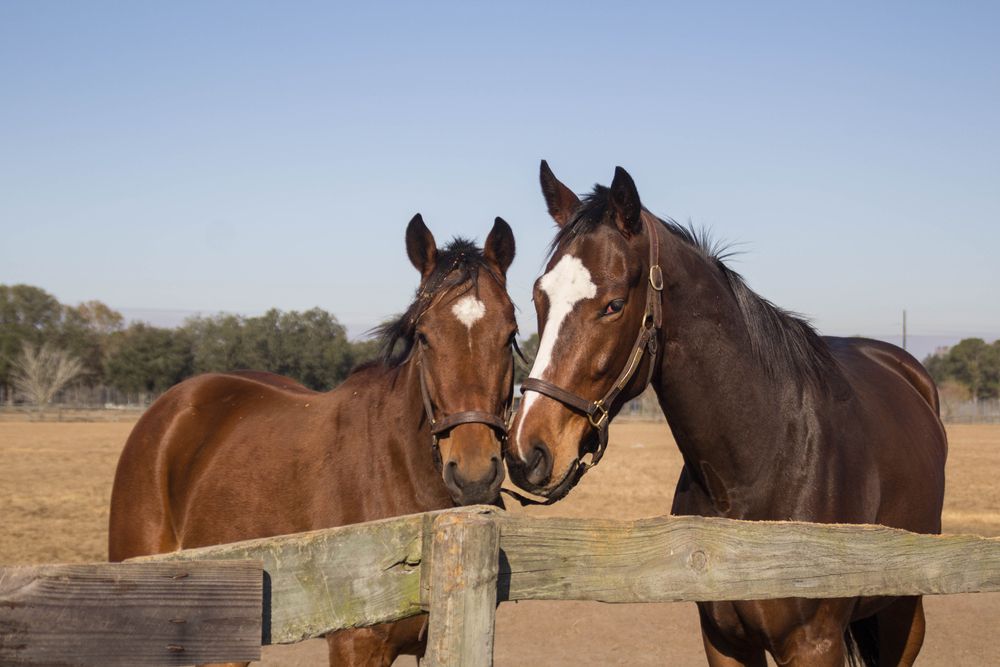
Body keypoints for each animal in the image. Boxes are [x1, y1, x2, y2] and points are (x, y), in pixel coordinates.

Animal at [507, 162, 947, 667]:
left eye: (614, 304)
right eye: (538, 298)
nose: (527, 449)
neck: (761, 466)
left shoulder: (815, 644)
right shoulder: (724, 640)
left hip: (903, 613)